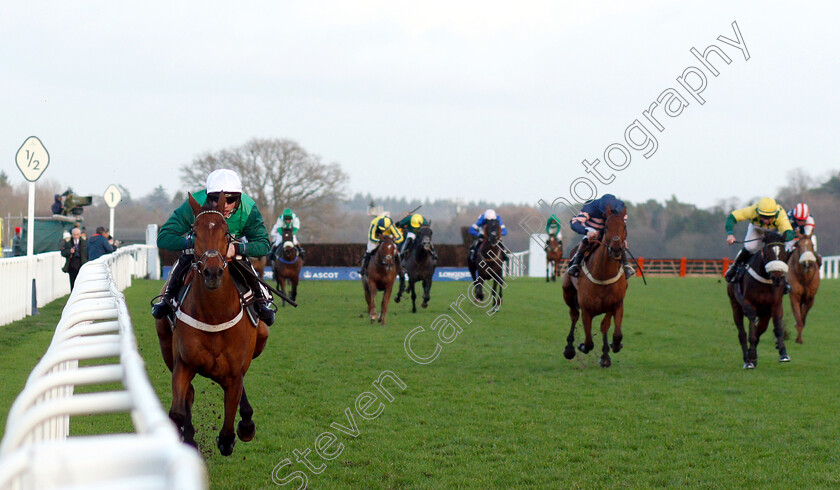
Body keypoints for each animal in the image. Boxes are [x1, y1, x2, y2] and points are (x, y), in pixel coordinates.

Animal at [153, 191, 268, 456]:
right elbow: (177, 411)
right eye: (194, 232)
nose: (212, 272)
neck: (214, 316)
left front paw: (240, 428)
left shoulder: (234, 372)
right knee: (189, 395)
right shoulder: (183, 363)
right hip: (166, 347)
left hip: (261, 338)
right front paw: (187, 439)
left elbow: (226, 434)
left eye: (226, 233)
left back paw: (246, 423)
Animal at [560, 206, 628, 368]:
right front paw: (581, 346)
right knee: (574, 315)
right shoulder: (587, 309)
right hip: (568, 294)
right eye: (607, 226)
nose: (616, 249)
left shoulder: (616, 304)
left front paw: (608, 353)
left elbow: (613, 332)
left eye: (624, 226)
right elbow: (589, 342)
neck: (603, 274)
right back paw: (569, 349)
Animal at [724, 233, 792, 368]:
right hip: (735, 305)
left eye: (783, 253)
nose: (777, 278)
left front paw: (783, 353)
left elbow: (777, 328)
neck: (765, 279)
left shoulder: (776, 305)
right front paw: (751, 356)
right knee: (742, 332)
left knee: (760, 329)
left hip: (765, 314)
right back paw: (747, 359)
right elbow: (751, 328)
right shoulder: (748, 303)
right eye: (768, 253)